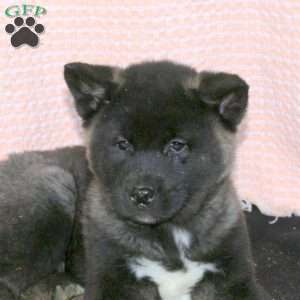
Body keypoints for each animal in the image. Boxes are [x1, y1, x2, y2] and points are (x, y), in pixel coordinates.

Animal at [63, 59, 270, 298]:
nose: (141, 195)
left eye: (177, 145)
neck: (172, 233)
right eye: (123, 144)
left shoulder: (237, 279)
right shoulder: (109, 280)